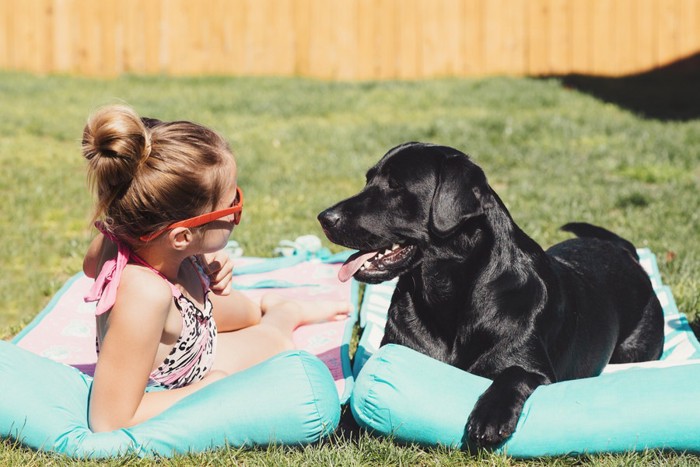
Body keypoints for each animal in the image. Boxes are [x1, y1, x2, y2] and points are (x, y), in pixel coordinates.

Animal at [318, 144, 660, 450]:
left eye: (396, 186)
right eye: (368, 180)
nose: (324, 217)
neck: (448, 298)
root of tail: (624, 252)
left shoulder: (536, 368)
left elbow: (514, 374)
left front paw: (490, 417)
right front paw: (340, 427)